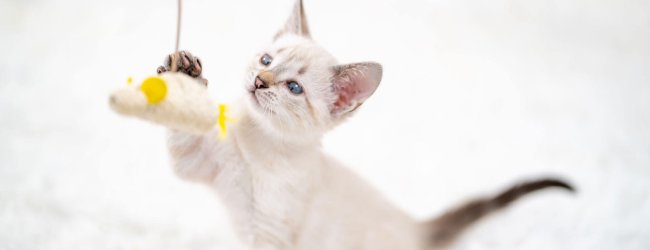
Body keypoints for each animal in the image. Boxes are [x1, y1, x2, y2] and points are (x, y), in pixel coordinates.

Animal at [158, 0, 572, 249]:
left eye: (294, 88)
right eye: (266, 60)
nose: (260, 81)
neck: (259, 143)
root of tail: (415, 226)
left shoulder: (273, 234)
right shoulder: (198, 164)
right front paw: (185, 75)